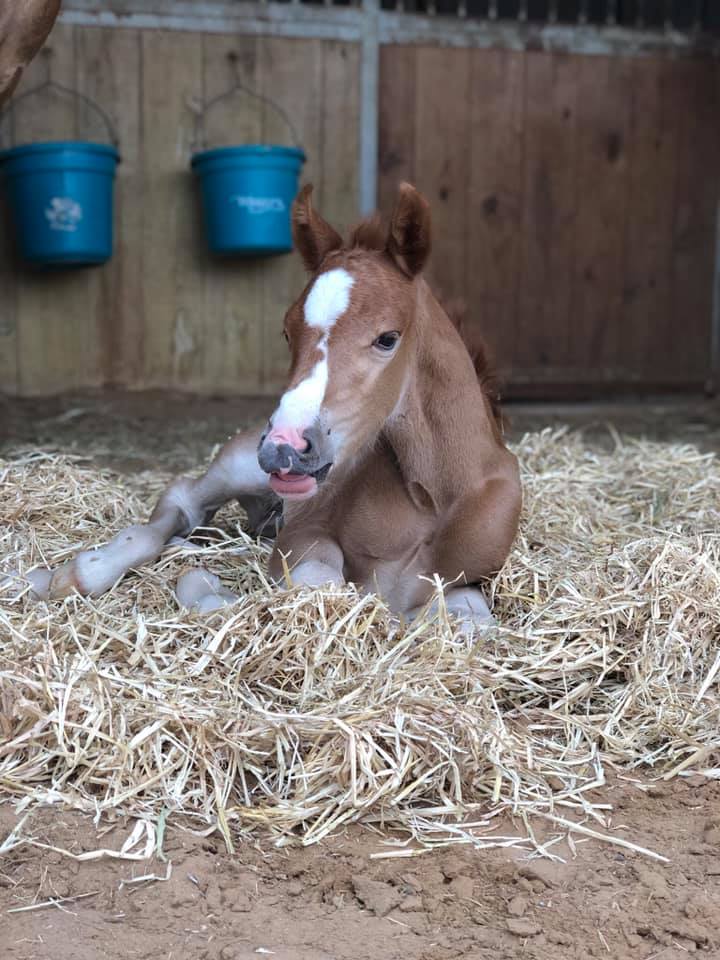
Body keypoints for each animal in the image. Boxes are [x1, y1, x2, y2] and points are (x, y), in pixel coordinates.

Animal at [27, 182, 522, 632]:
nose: (283, 447)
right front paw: (205, 587)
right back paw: (67, 572)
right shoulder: (302, 535)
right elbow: (315, 583)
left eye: (387, 338)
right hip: (239, 465)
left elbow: (467, 624)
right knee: (183, 500)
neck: (433, 495)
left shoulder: (469, 581)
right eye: (287, 332)